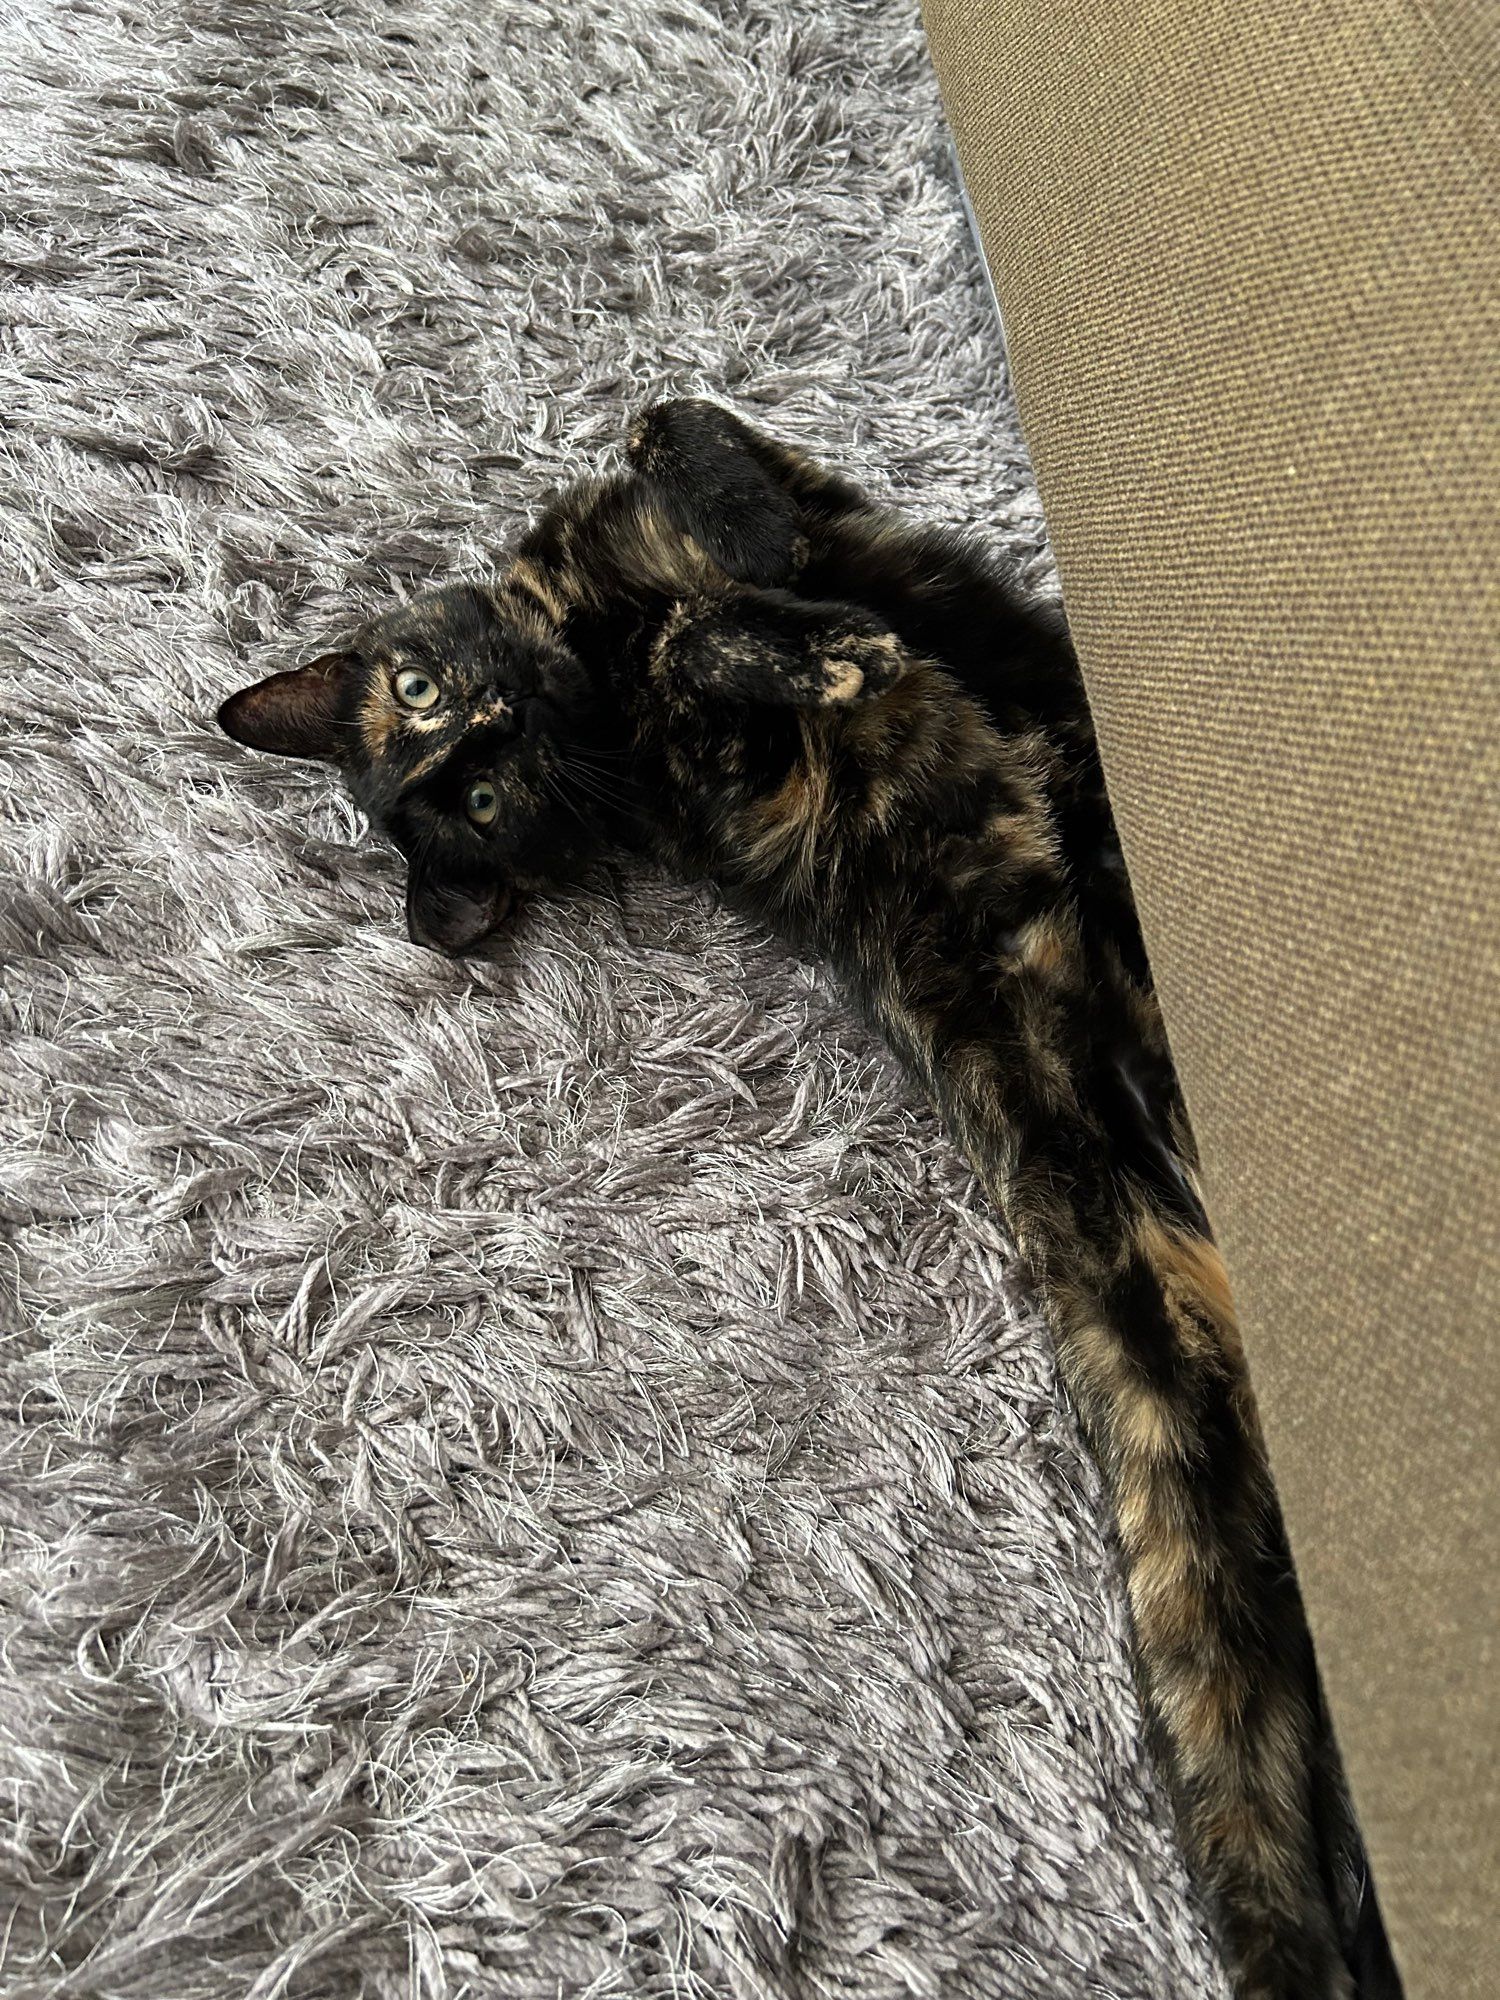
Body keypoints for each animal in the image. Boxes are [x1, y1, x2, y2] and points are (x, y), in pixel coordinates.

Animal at [217, 398, 1408, 1992]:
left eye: (430, 705)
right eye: (472, 789)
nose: (495, 720)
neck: (582, 644)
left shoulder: (769, 489)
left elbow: (681, 435)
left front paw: (741, 544)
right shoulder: (739, 782)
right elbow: (707, 633)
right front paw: (813, 641)